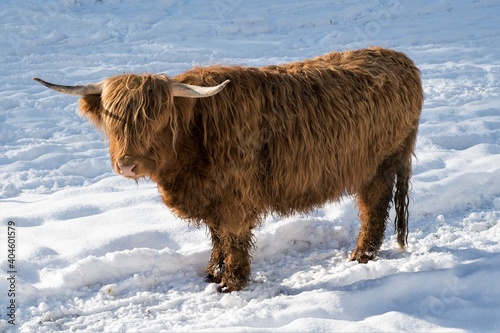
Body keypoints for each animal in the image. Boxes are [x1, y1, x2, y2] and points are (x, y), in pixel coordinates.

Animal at [34, 46, 422, 290]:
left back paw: (361, 255)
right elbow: (216, 236)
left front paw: (232, 282)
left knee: (373, 206)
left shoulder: (236, 197)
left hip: (379, 164)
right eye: (112, 120)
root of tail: (400, 59)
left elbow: (233, 238)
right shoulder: (212, 197)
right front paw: (211, 273)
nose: (127, 164)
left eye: (156, 119)